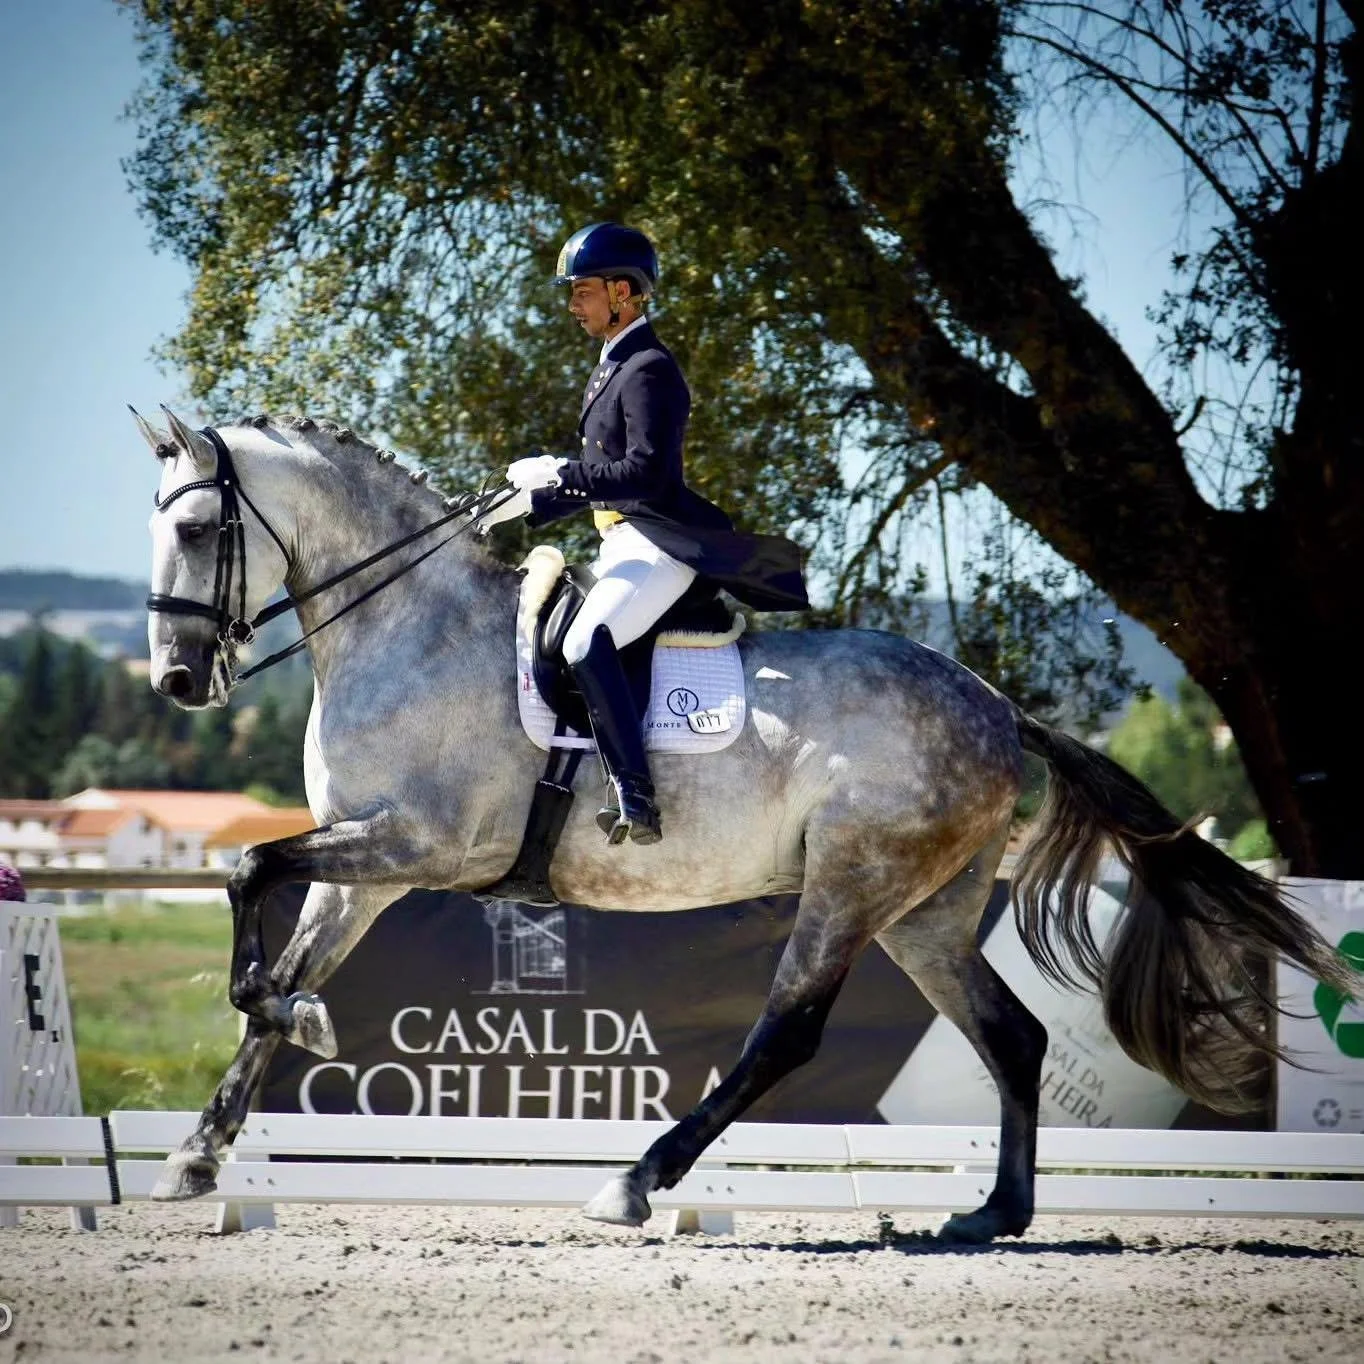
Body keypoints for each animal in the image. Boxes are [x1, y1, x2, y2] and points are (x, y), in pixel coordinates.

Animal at [135, 406, 1357, 1244]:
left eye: (196, 527)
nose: (179, 679)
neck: (408, 629)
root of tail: (994, 707)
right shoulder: (368, 865)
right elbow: (275, 950)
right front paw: (199, 1153)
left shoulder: (423, 845)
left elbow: (246, 871)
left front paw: (299, 1029)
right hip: (926, 912)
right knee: (1010, 1036)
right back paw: (990, 1215)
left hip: (851, 883)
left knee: (786, 1033)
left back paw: (635, 1182)